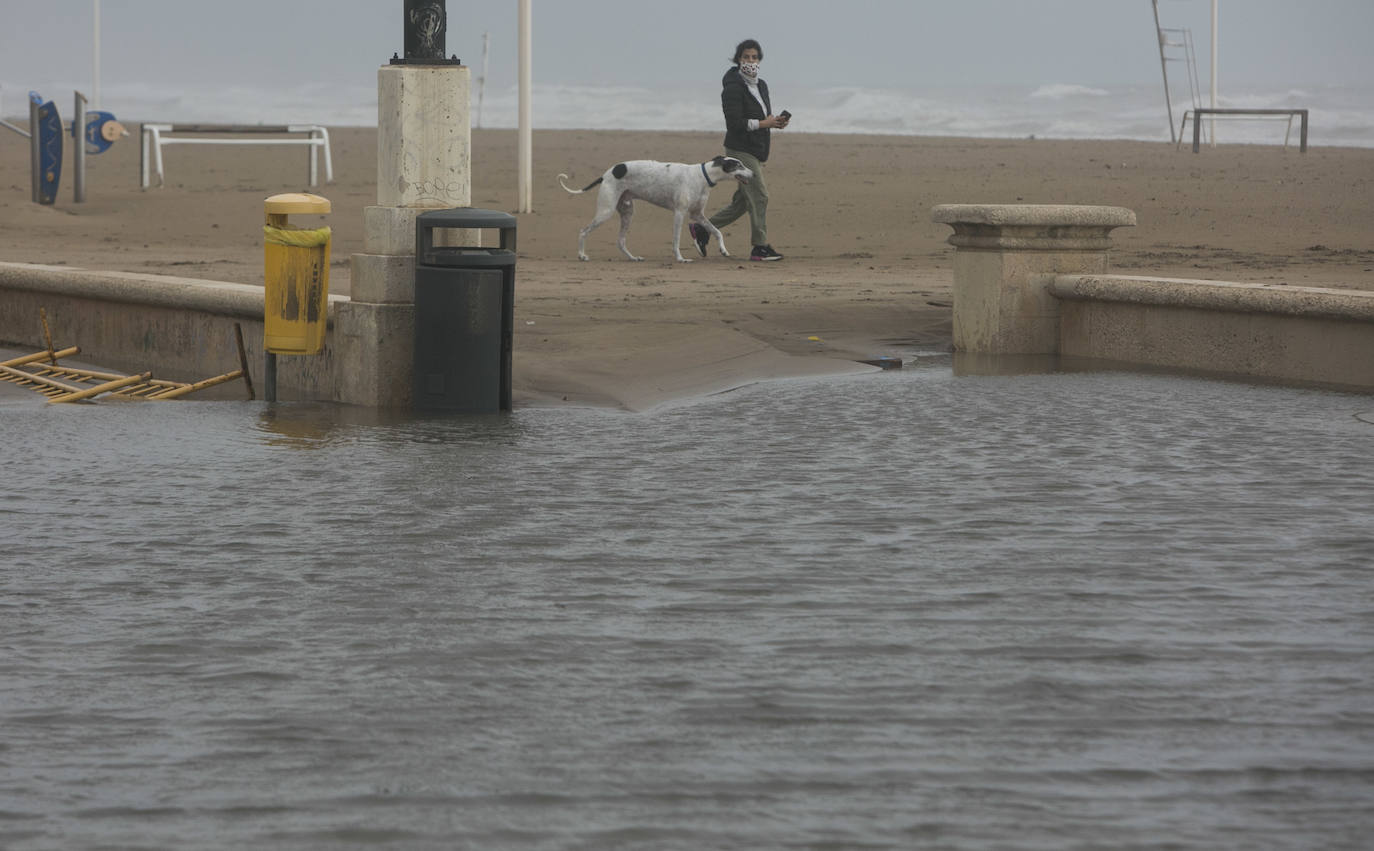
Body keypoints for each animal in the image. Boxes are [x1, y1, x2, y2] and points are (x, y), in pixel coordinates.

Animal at [555, 156, 752, 262]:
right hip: (606, 211)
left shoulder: (698, 214)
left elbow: (717, 231)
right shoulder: (679, 213)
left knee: (620, 241)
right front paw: (680, 259)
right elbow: (676, 240)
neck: (702, 176)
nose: (754, 173)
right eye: (739, 165)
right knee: (583, 231)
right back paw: (581, 255)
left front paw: (723, 250)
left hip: (627, 212)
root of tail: (606, 174)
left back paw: (633, 258)